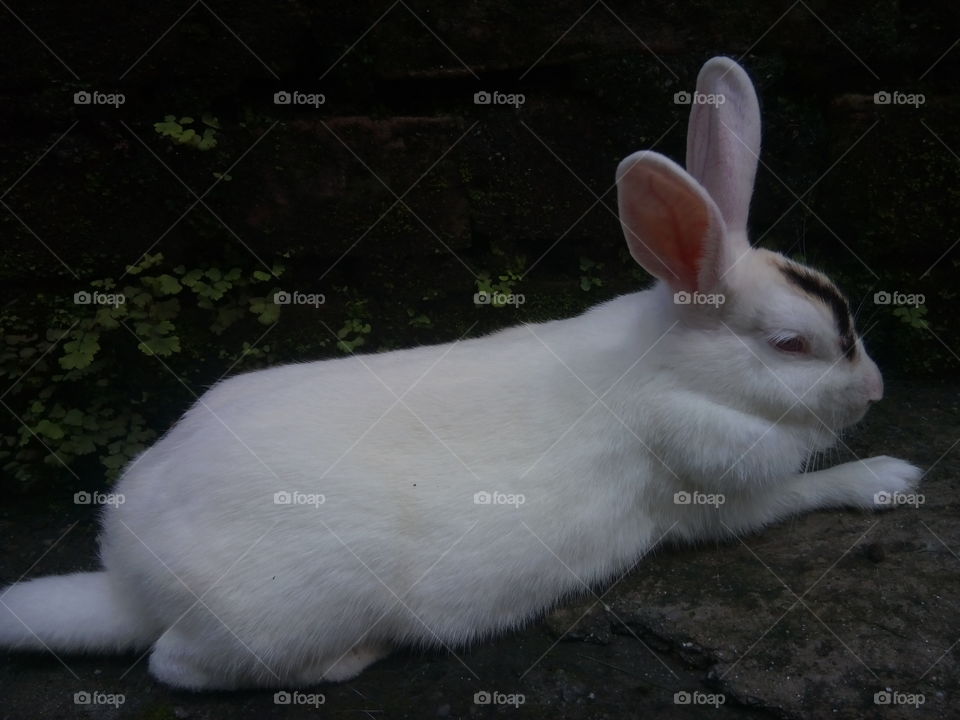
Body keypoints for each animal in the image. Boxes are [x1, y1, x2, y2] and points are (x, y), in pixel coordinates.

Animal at [0, 56, 922, 690]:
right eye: (792, 346)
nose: (877, 393)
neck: (667, 368)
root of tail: (130, 583)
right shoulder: (715, 496)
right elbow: (800, 492)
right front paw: (889, 476)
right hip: (285, 614)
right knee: (176, 666)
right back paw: (349, 659)